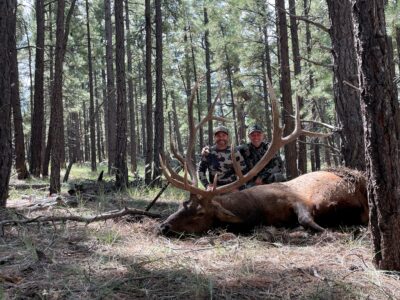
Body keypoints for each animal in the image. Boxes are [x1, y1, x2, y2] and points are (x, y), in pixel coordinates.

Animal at [159, 78, 368, 236]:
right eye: (182, 204)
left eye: (200, 213)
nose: (163, 226)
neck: (258, 210)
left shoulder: (298, 199)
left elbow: (305, 219)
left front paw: (332, 231)